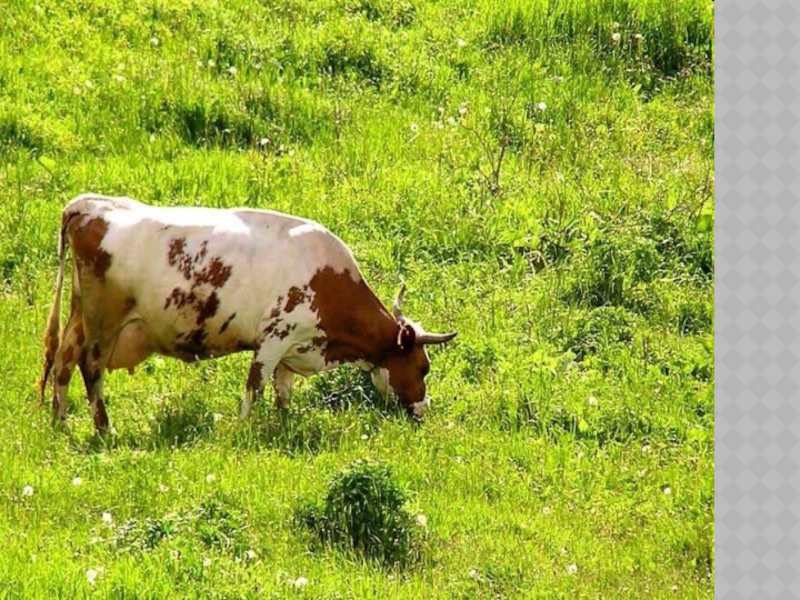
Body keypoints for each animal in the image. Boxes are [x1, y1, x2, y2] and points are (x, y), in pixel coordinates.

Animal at [39, 194, 457, 434]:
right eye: (423, 368)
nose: (424, 410)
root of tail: (88, 204)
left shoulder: (293, 348)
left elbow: (283, 393)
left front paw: (285, 425)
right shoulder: (274, 339)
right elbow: (254, 388)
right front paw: (245, 429)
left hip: (79, 315)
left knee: (63, 360)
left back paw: (61, 423)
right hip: (103, 322)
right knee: (90, 368)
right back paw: (104, 430)